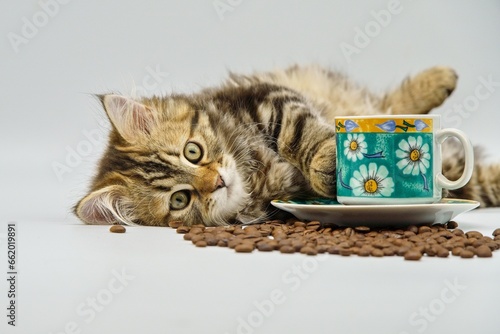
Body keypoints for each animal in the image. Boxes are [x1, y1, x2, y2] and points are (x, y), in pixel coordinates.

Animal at [75, 65, 500, 227]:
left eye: (193, 151)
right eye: (180, 200)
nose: (218, 182)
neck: (253, 173)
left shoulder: (267, 98)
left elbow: (297, 132)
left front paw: (329, 161)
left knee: (390, 105)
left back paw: (439, 79)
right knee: (472, 178)